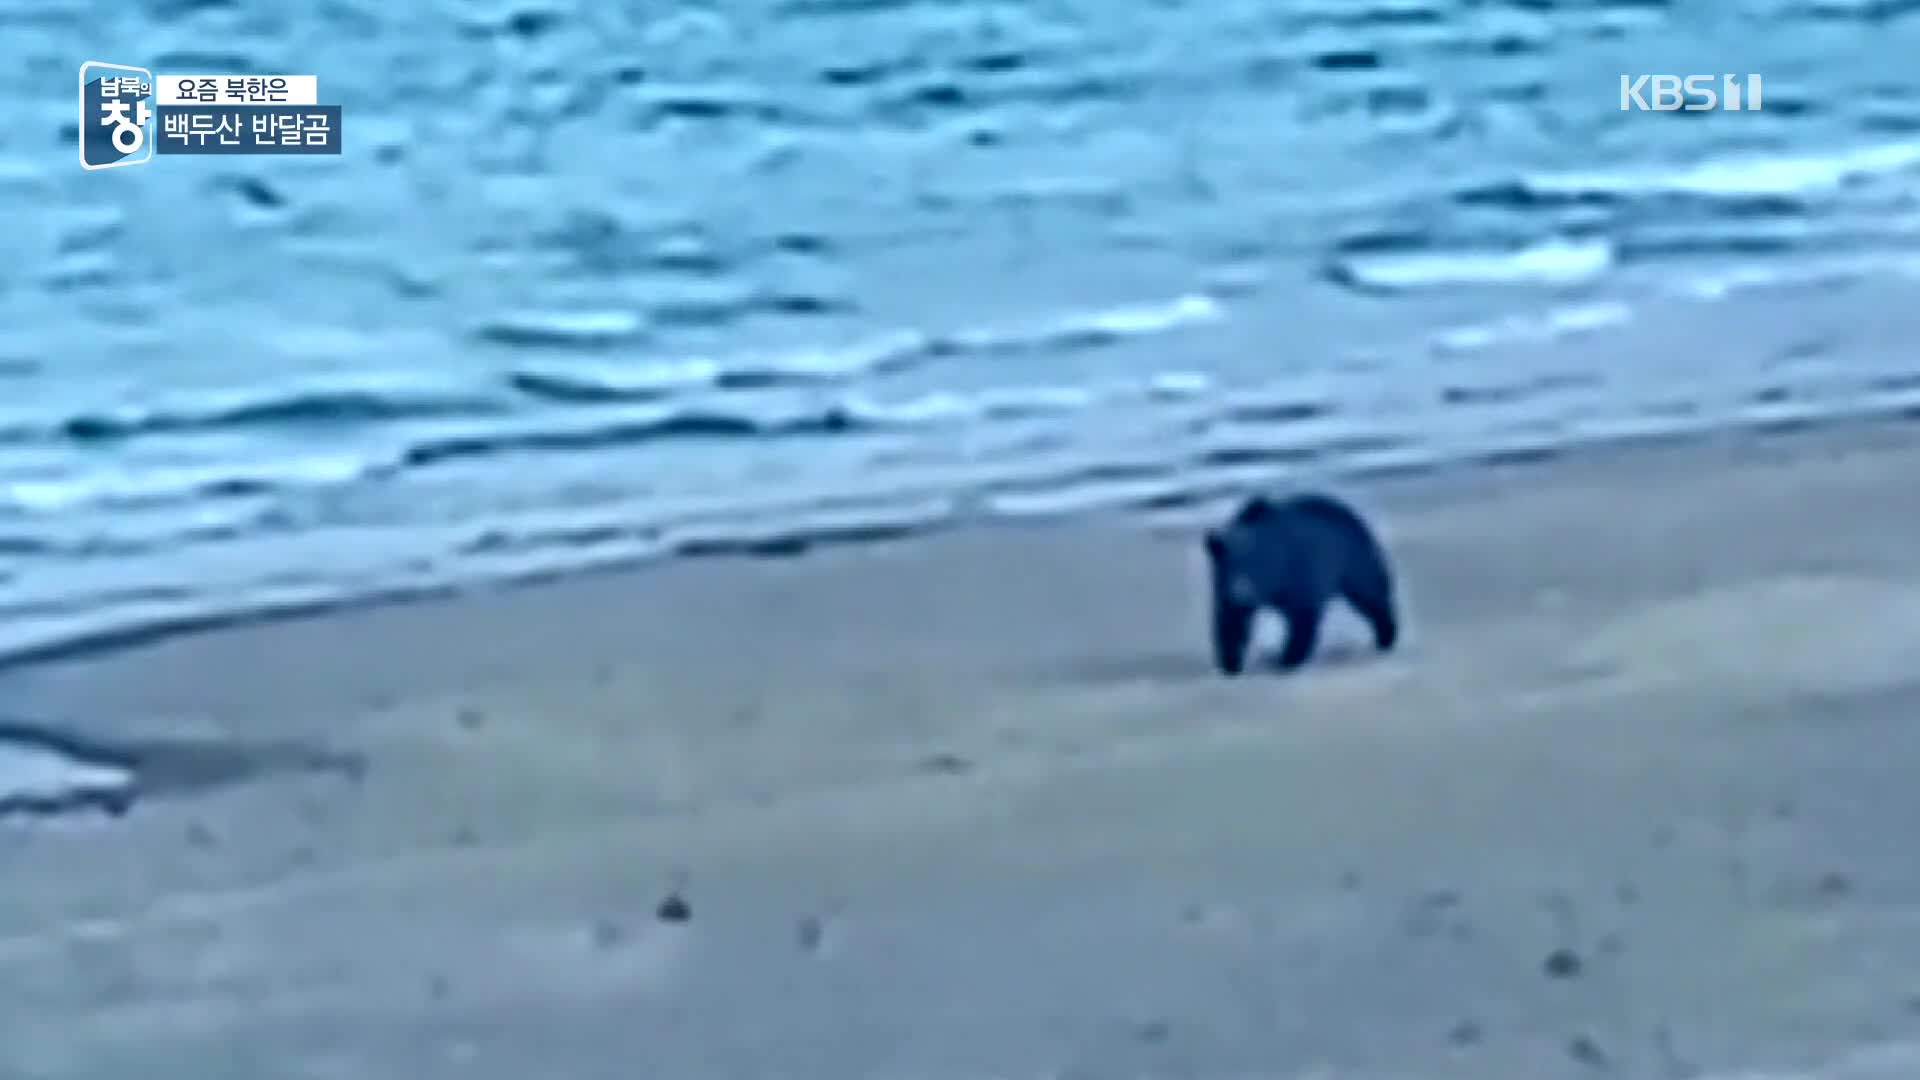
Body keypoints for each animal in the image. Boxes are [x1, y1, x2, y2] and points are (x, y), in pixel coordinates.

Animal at [1205, 490, 1405, 672]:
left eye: (1254, 566)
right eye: (1229, 568)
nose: (1241, 594)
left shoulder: (1298, 570)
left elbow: (1302, 614)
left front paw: (1288, 658)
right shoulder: (1228, 593)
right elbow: (1232, 621)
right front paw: (1231, 662)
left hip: (1355, 560)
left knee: (1371, 596)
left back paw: (1386, 635)